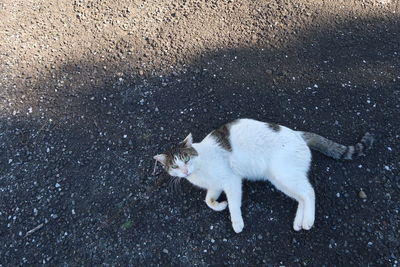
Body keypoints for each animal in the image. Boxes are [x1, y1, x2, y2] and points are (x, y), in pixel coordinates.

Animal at [154, 118, 376, 233]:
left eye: (186, 159)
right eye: (174, 165)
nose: (184, 171)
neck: (200, 168)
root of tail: (298, 134)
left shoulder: (231, 181)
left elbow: (234, 204)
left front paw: (236, 222)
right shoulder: (216, 186)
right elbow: (208, 200)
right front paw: (219, 205)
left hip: (283, 174)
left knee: (309, 192)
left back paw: (308, 221)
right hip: (280, 179)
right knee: (302, 196)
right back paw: (299, 221)